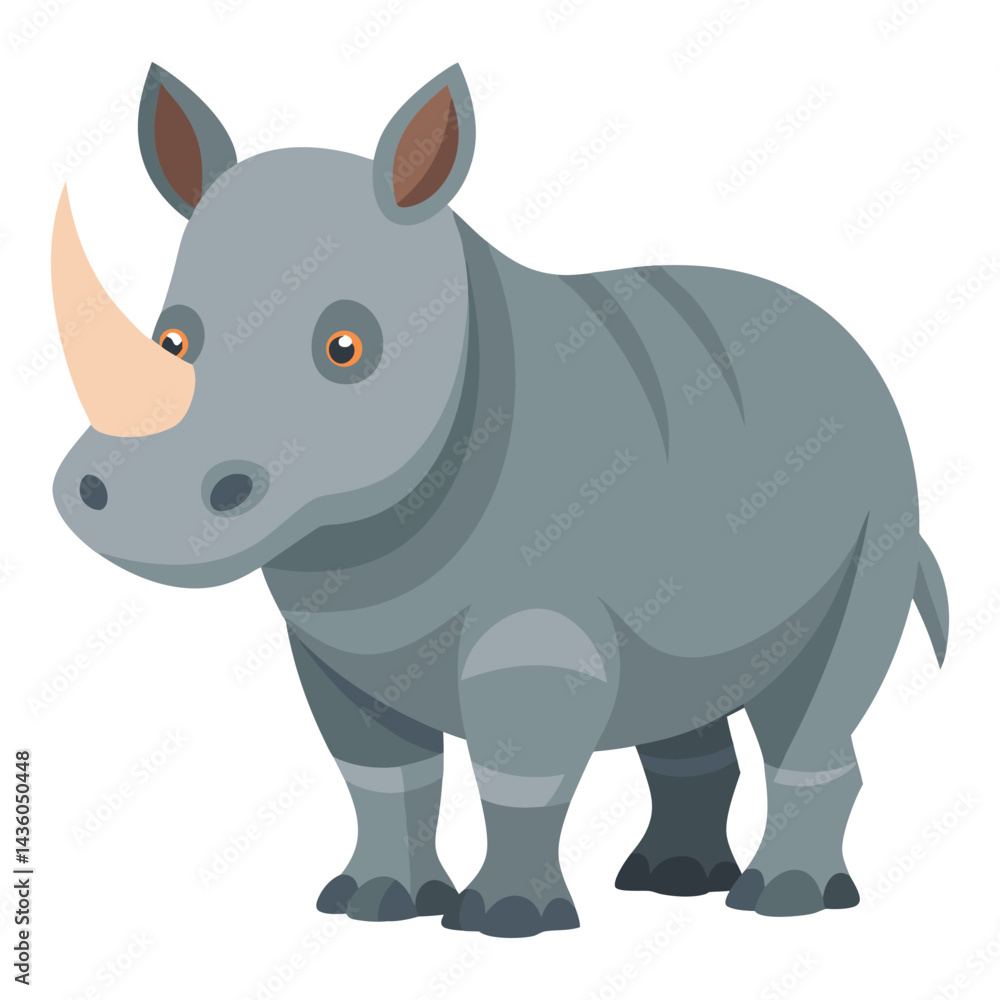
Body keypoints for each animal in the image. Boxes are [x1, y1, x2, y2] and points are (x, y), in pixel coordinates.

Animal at [52, 63, 949, 938]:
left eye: (347, 348)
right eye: (171, 340)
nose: (121, 491)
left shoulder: (537, 625)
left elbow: (520, 770)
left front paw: (507, 921)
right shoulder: (336, 642)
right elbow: (379, 777)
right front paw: (373, 905)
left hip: (882, 496)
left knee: (819, 698)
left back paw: (782, 901)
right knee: (686, 692)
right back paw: (672, 883)